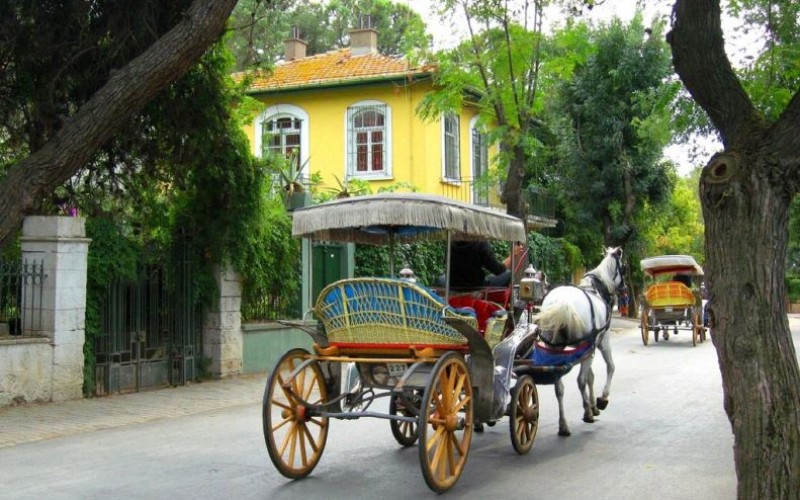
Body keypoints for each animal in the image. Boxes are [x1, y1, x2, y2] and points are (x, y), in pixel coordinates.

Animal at [536, 248, 624, 436]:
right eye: (624, 268)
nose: (624, 289)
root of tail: (563, 303)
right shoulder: (601, 341)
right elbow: (610, 367)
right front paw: (601, 400)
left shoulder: (586, 349)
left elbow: (591, 376)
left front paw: (593, 405)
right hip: (589, 346)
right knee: (580, 380)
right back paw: (587, 413)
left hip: (553, 347)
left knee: (559, 386)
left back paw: (563, 425)